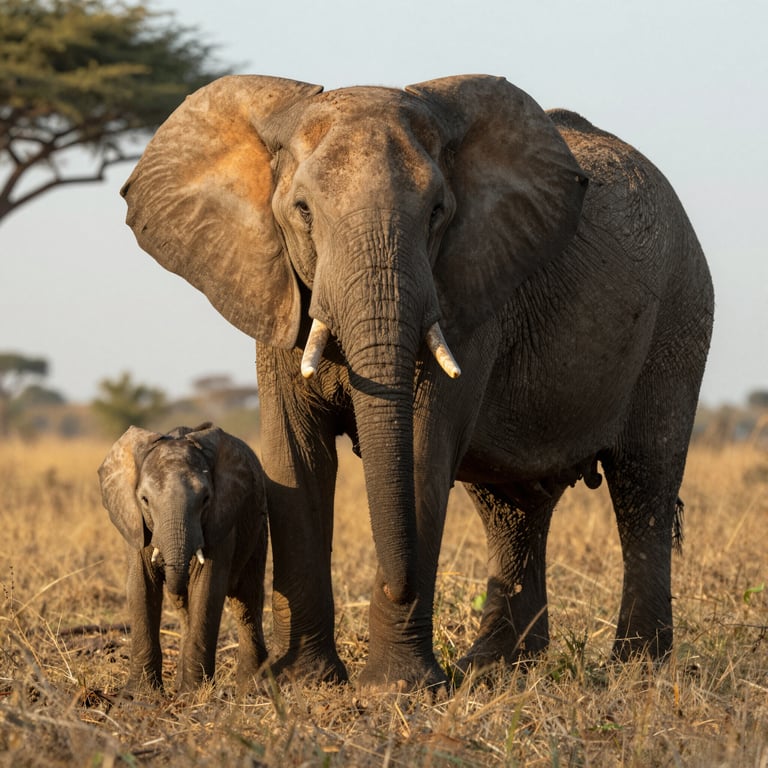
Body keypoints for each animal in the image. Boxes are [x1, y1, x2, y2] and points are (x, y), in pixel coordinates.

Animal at [98, 422, 268, 693]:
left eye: (206, 499)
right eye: (144, 500)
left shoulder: (221, 520)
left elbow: (207, 588)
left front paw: (193, 694)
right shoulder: (135, 522)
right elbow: (141, 586)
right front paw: (139, 694)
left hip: (258, 525)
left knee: (247, 599)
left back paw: (252, 686)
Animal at [120, 74, 714, 692]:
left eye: (437, 212)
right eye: (302, 211)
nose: (391, 582)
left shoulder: (462, 291)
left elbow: (422, 447)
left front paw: (395, 689)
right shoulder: (279, 291)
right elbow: (296, 458)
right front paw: (306, 683)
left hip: (680, 315)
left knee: (643, 485)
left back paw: (639, 672)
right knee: (512, 507)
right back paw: (493, 668)